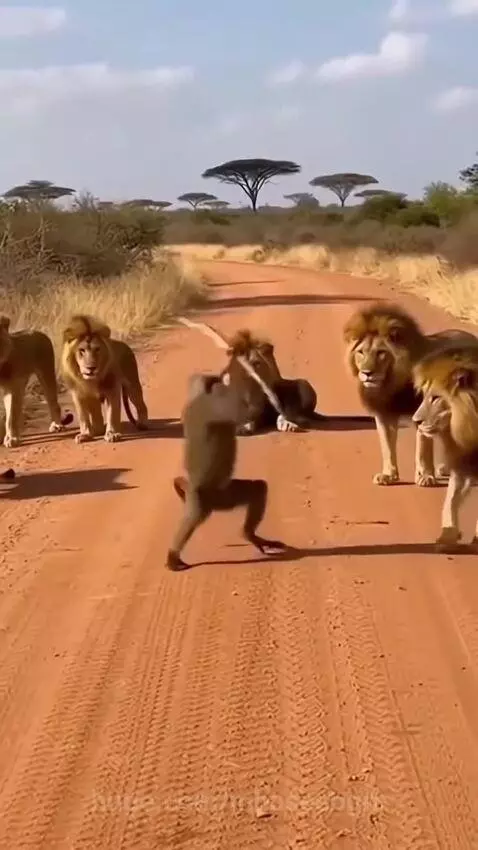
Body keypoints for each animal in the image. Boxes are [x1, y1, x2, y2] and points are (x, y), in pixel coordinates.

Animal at [0, 315, 73, 448]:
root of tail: (37, 331)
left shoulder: (13, 387)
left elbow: (11, 416)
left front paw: (12, 439)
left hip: (46, 372)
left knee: (53, 402)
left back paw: (57, 425)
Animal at [61, 314, 148, 444]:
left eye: (97, 349)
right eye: (81, 350)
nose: (91, 368)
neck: (90, 380)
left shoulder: (112, 389)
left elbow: (112, 413)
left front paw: (112, 434)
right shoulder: (78, 394)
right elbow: (83, 416)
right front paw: (85, 434)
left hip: (132, 385)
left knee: (140, 404)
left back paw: (142, 424)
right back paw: (97, 430)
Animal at [166, 373, 288, 571]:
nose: (218, 381)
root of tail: (194, 488)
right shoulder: (215, 403)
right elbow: (245, 414)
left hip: (211, 497)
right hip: (215, 498)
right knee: (195, 518)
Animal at [343, 302, 478, 486]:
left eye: (381, 353)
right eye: (361, 353)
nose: (367, 373)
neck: (390, 383)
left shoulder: (422, 410)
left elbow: (423, 448)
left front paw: (426, 476)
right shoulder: (384, 413)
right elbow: (387, 446)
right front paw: (388, 475)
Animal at [412, 342, 478, 551]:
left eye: (436, 397)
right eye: (424, 396)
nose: (415, 421)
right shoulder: (464, 461)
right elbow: (451, 499)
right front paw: (447, 537)